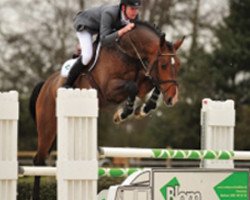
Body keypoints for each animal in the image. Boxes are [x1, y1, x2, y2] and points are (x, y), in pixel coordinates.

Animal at [30, 21, 185, 199]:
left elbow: (152, 85)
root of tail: (46, 84)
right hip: (47, 127)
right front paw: (123, 113)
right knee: (39, 161)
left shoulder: (144, 80)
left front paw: (143, 109)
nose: (172, 99)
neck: (129, 53)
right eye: (164, 65)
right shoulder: (110, 89)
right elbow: (132, 87)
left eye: (178, 65)